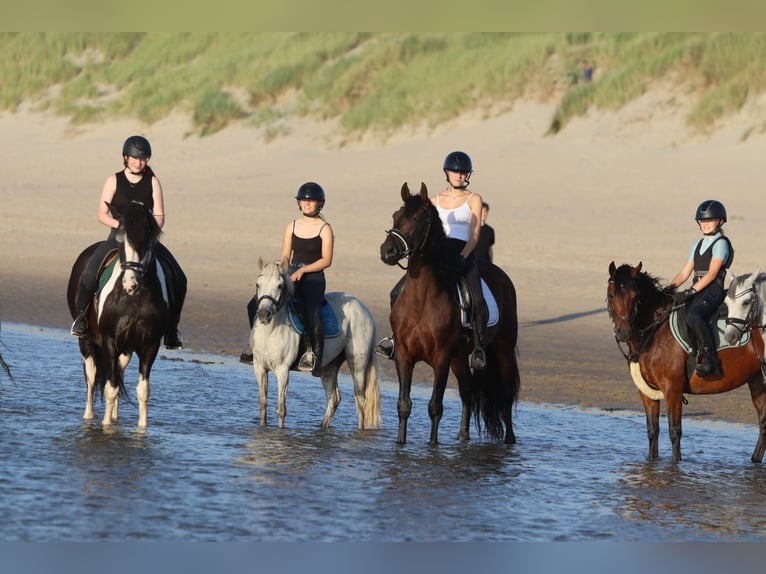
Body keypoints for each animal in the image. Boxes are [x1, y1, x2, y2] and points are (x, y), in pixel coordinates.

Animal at [67, 202, 170, 428]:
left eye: (146, 241)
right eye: (122, 241)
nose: (130, 284)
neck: (134, 299)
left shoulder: (149, 346)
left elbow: (142, 390)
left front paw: (142, 429)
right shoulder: (109, 341)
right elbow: (110, 388)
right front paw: (106, 428)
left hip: (126, 349)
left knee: (118, 372)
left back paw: (115, 416)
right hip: (86, 341)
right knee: (92, 376)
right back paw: (89, 417)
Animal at [250, 258, 382, 430]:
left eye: (279, 286)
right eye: (258, 284)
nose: (263, 314)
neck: (270, 331)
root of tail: (365, 310)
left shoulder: (282, 370)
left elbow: (281, 408)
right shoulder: (259, 368)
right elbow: (262, 404)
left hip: (358, 365)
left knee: (360, 399)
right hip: (329, 367)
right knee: (334, 398)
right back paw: (322, 428)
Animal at [380, 182, 520, 448]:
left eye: (417, 218)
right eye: (395, 215)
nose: (387, 251)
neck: (421, 302)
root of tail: (502, 277)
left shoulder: (441, 358)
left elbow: (435, 406)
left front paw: (433, 447)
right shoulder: (403, 354)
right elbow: (404, 405)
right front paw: (400, 445)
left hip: (503, 349)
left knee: (506, 393)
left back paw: (509, 440)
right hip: (460, 357)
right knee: (467, 391)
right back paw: (463, 436)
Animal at [612, 264, 766, 466]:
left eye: (635, 296)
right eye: (612, 295)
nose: (623, 332)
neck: (655, 333)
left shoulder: (673, 389)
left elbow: (674, 431)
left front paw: (675, 466)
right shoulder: (647, 393)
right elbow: (652, 431)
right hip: (757, 379)